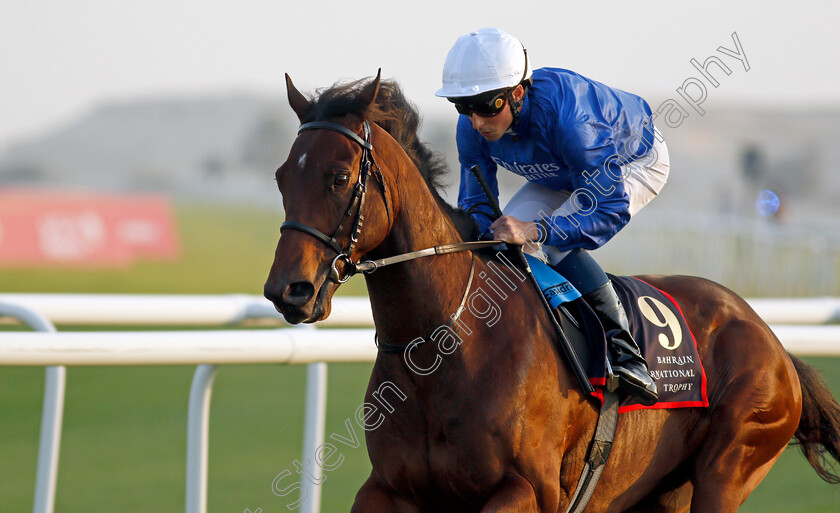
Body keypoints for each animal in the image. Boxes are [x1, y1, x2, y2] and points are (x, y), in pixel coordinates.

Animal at [262, 72, 840, 512]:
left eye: (339, 177)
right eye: (281, 176)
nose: (288, 290)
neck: (445, 344)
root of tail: (771, 339)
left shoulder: (528, 489)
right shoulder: (389, 489)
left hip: (728, 467)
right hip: (663, 493)